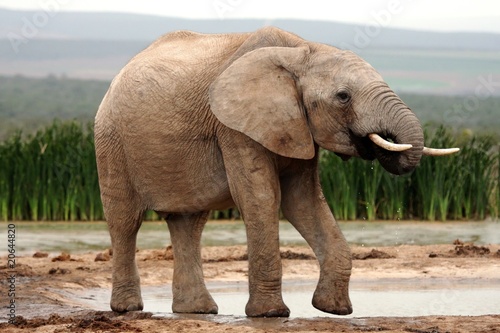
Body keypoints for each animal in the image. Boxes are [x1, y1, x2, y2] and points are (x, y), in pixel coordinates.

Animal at [93, 26, 458, 316]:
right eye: (343, 97)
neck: (302, 50)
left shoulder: (297, 126)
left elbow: (303, 201)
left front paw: (334, 310)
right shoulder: (233, 126)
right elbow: (262, 197)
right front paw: (270, 314)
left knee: (189, 222)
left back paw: (198, 310)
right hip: (110, 137)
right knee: (125, 220)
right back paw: (127, 308)